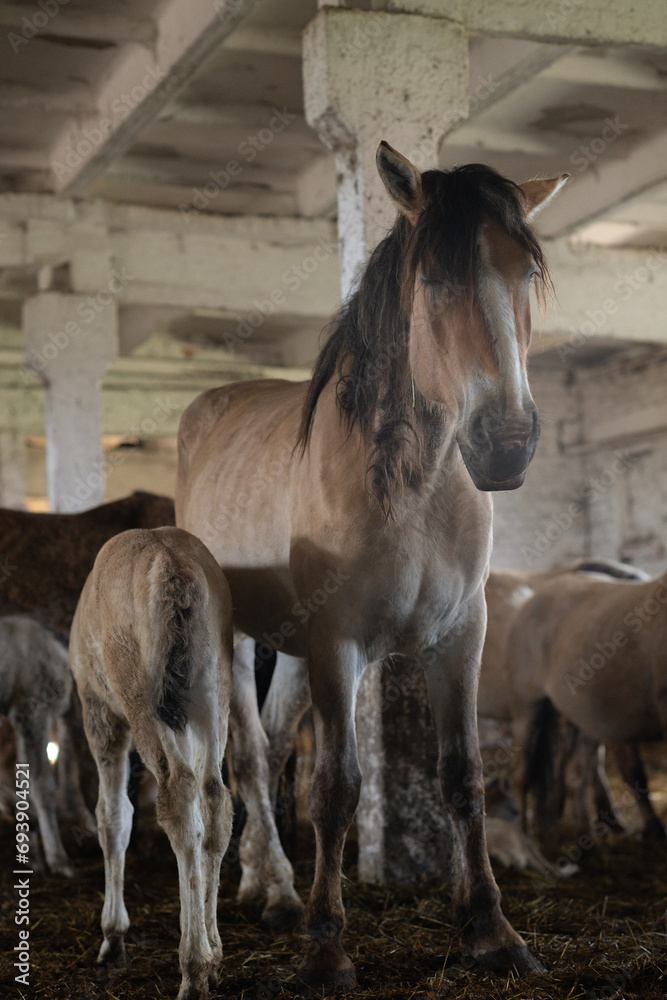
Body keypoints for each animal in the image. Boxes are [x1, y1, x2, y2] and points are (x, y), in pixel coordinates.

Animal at [70, 527, 234, 1000]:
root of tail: (171, 566)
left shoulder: (100, 715)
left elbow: (112, 817)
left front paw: (113, 937)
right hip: (214, 689)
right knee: (214, 801)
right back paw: (213, 954)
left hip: (141, 698)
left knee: (177, 797)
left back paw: (193, 969)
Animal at [176, 141, 568, 985]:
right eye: (434, 278)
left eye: (525, 271)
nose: (505, 444)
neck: (417, 487)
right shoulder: (339, 642)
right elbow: (337, 785)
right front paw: (325, 946)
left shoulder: (459, 636)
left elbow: (461, 776)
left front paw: (491, 930)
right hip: (236, 641)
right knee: (248, 756)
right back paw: (280, 893)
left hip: (291, 649)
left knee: (273, 747)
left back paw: (261, 883)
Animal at [504, 565, 667, 849]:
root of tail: (528, 601)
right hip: (528, 710)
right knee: (521, 774)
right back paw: (525, 836)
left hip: (581, 718)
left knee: (574, 775)